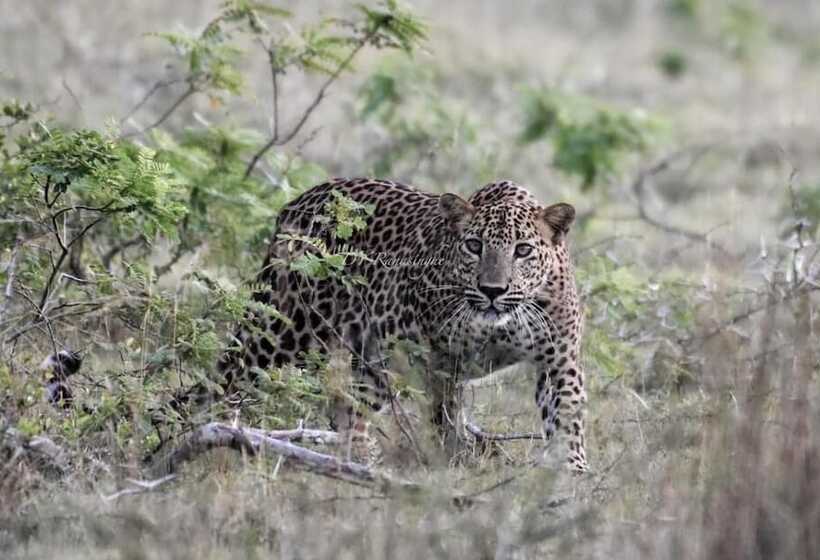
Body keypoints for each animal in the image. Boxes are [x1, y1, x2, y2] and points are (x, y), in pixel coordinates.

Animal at [216, 177, 589, 472]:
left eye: (523, 250)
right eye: (474, 246)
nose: (492, 290)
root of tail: (298, 202)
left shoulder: (559, 358)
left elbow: (567, 411)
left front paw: (572, 472)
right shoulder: (440, 358)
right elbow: (444, 413)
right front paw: (452, 461)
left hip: (367, 362)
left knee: (350, 408)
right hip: (285, 329)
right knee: (231, 371)